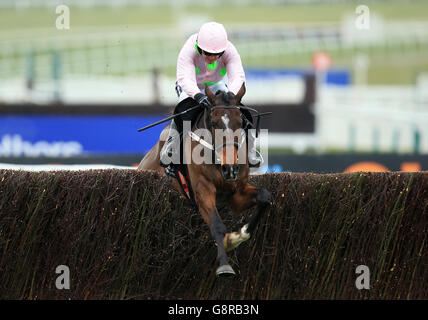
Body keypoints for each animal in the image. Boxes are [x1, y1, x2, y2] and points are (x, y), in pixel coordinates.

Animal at [137, 84, 270, 276]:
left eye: (241, 122)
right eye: (214, 123)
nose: (230, 168)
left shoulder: (237, 193)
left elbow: (264, 197)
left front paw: (238, 236)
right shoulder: (202, 189)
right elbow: (217, 225)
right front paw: (224, 265)